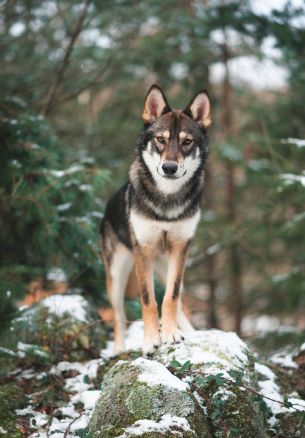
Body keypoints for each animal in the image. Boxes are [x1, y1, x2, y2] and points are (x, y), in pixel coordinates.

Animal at [98, 85, 210, 356]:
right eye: (160, 139)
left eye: (187, 142)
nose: (169, 168)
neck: (166, 201)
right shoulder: (144, 251)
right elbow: (148, 300)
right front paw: (150, 341)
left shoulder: (181, 249)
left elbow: (170, 297)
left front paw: (169, 334)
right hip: (117, 276)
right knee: (118, 317)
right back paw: (118, 350)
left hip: (170, 265)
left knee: (178, 300)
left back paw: (189, 331)